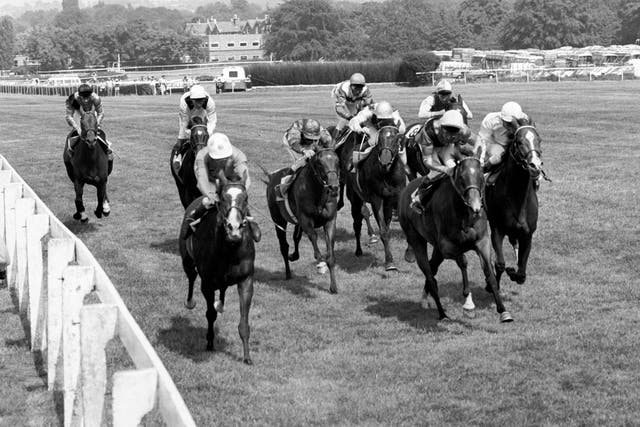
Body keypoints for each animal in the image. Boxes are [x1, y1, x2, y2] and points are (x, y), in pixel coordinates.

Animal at [180, 174, 255, 364]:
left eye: (245, 198)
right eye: (222, 199)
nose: (234, 228)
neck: (230, 248)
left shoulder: (246, 281)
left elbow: (244, 322)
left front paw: (247, 356)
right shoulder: (207, 283)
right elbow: (210, 314)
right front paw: (209, 343)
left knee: (222, 289)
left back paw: (220, 304)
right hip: (187, 260)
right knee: (191, 276)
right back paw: (190, 302)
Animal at [264, 148, 342, 294]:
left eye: (337, 161)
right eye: (319, 164)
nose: (334, 187)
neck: (318, 194)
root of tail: (272, 176)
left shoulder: (330, 221)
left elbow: (331, 256)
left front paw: (333, 286)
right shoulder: (305, 219)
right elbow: (313, 236)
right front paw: (320, 260)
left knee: (296, 238)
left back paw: (294, 256)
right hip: (278, 219)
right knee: (284, 246)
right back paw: (288, 272)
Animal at [340, 125, 404, 270]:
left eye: (396, 138)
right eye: (379, 139)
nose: (385, 159)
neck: (387, 174)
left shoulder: (393, 199)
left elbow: (389, 227)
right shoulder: (377, 200)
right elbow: (383, 230)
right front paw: (389, 262)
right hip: (355, 199)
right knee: (357, 224)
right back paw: (358, 250)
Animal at [488, 115, 544, 286]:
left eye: (539, 140)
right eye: (519, 141)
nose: (535, 165)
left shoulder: (527, 234)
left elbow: (521, 273)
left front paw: (513, 272)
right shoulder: (497, 229)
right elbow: (499, 264)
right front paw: (492, 285)